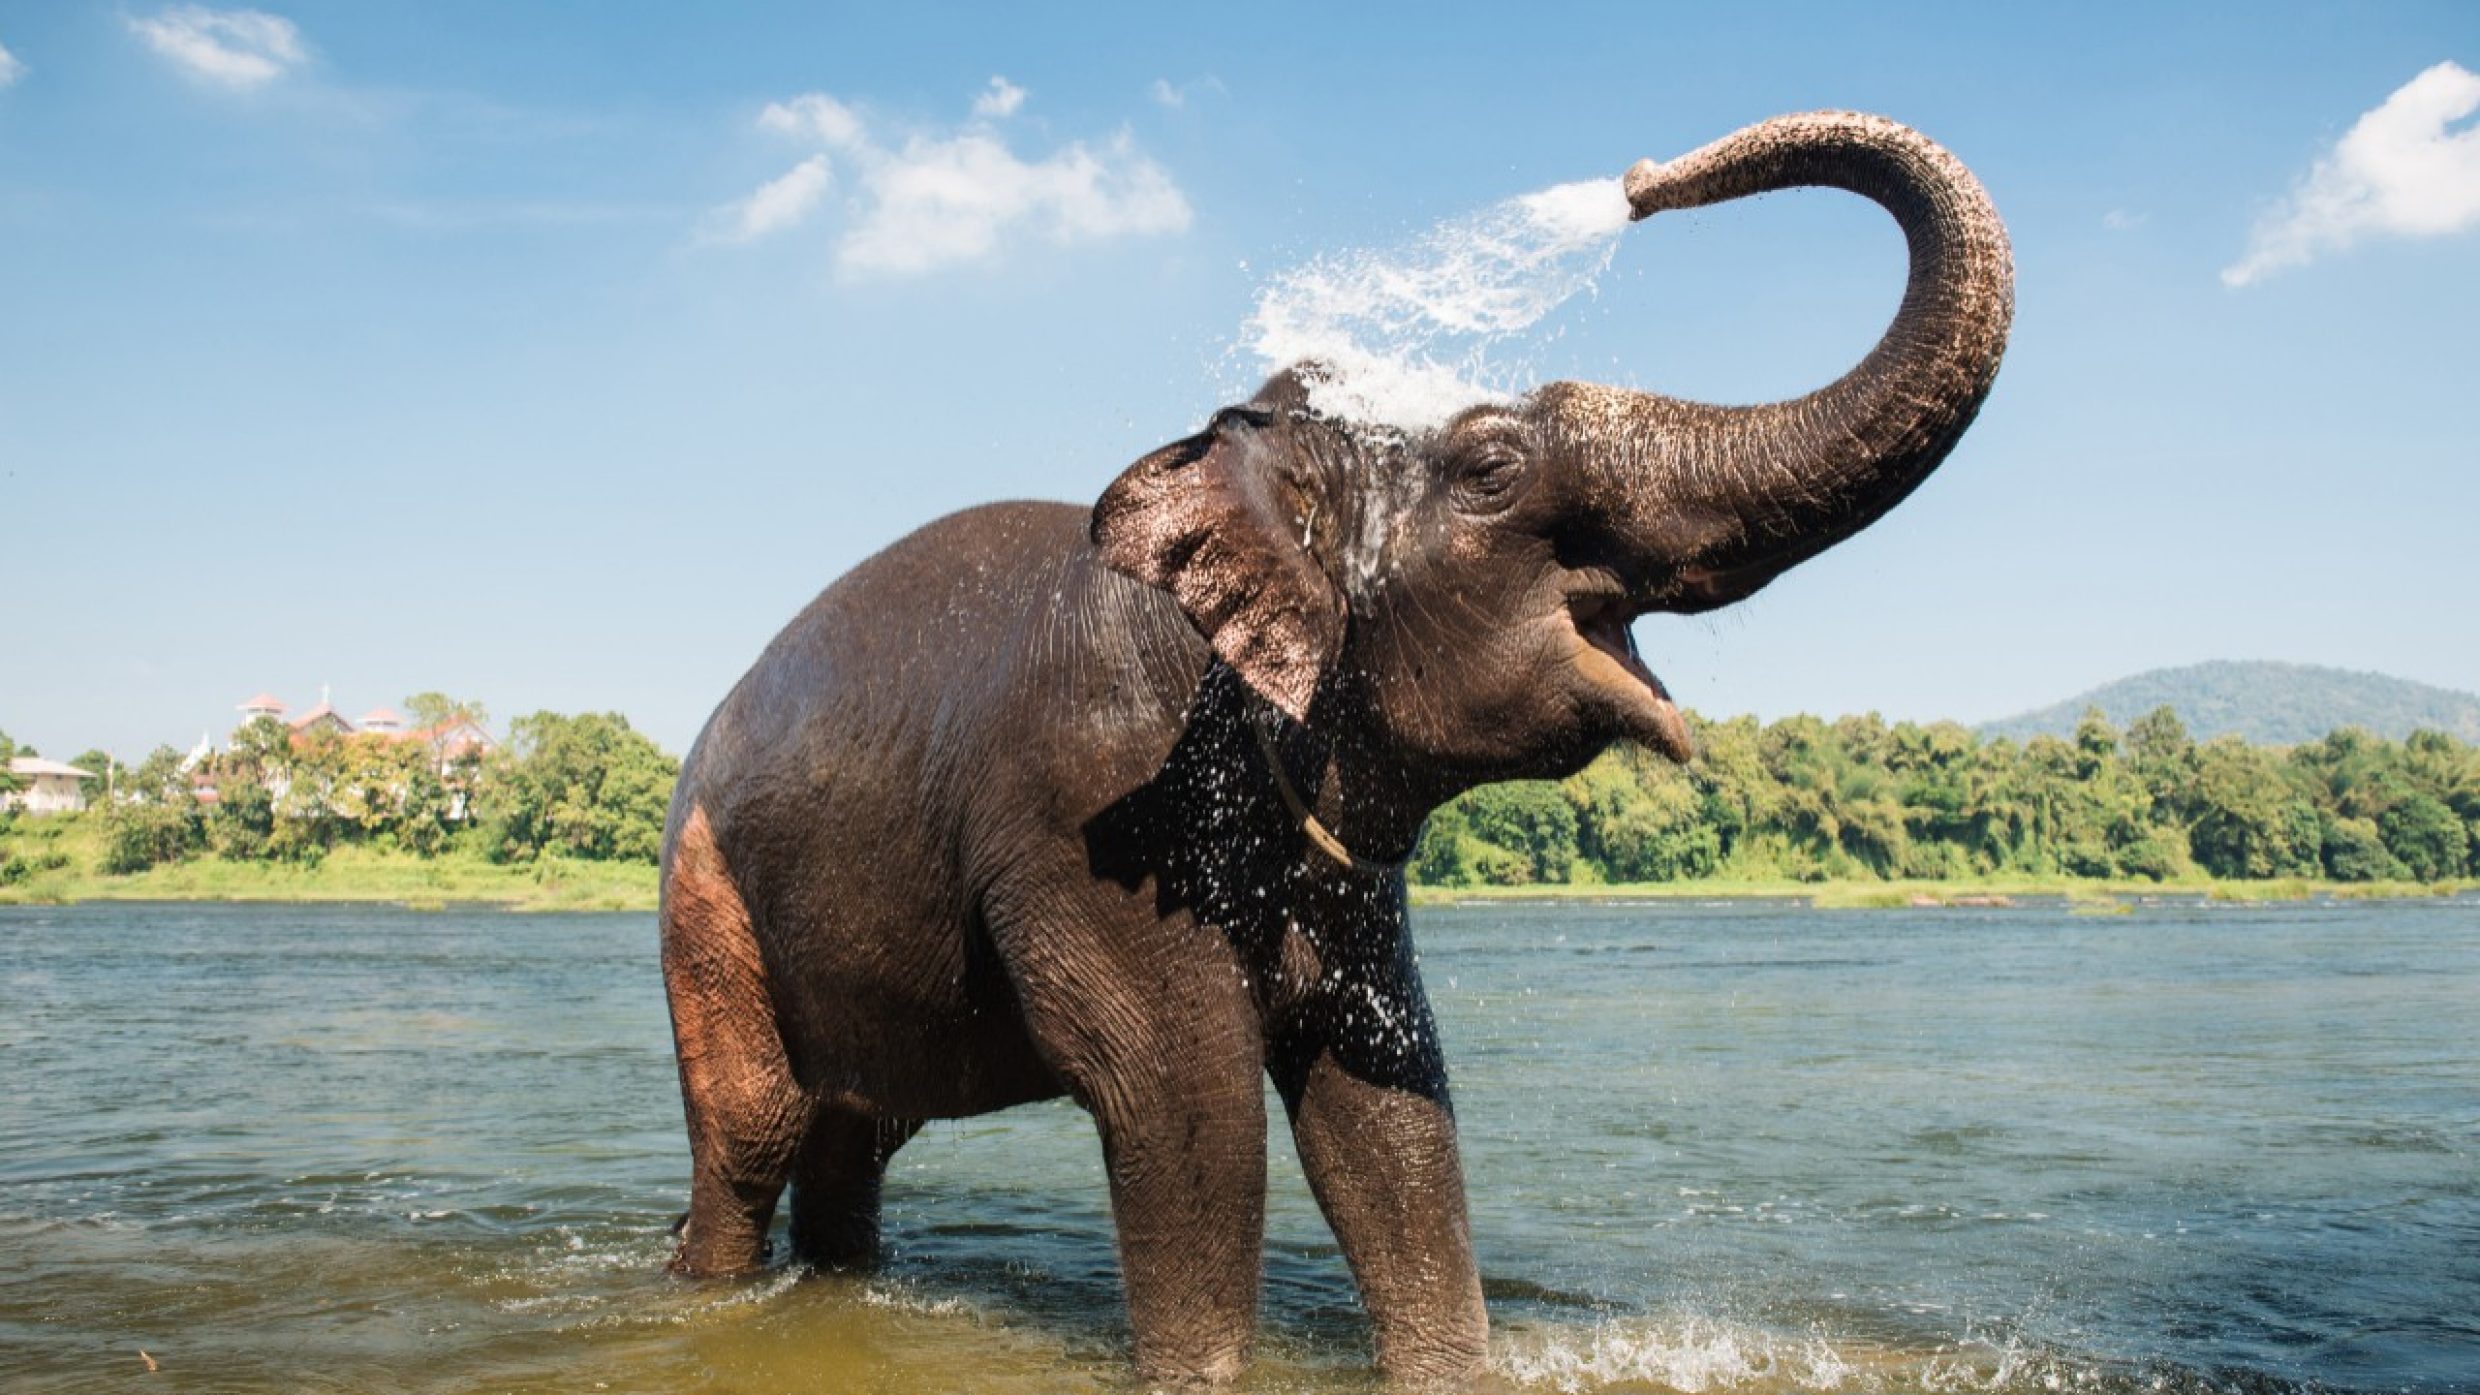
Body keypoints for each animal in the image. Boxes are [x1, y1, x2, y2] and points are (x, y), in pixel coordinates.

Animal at [664, 111, 2013, 1380]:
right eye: (1489, 466)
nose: (1638, 181)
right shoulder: (1090, 804)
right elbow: (1183, 1102)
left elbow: (1382, 1102)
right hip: (702, 896)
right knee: (753, 1135)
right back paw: (706, 1288)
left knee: (855, 1133)